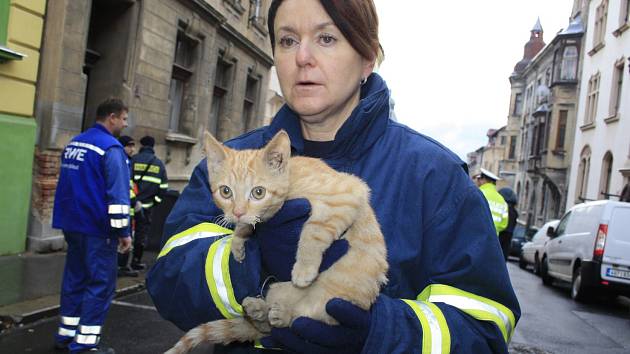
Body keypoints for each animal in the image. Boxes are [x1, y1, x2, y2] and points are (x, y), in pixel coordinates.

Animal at [165, 131, 388, 354]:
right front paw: (238, 240)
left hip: (331, 304)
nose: (237, 212)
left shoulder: (347, 195)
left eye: (258, 192)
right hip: (277, 290)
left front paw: (304, 270)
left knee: (301, 320)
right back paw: (259, 311)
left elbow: (312, 232)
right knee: (267, 327)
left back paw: (283, 315)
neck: (292, 178)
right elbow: (250, 224)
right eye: (225, 191)